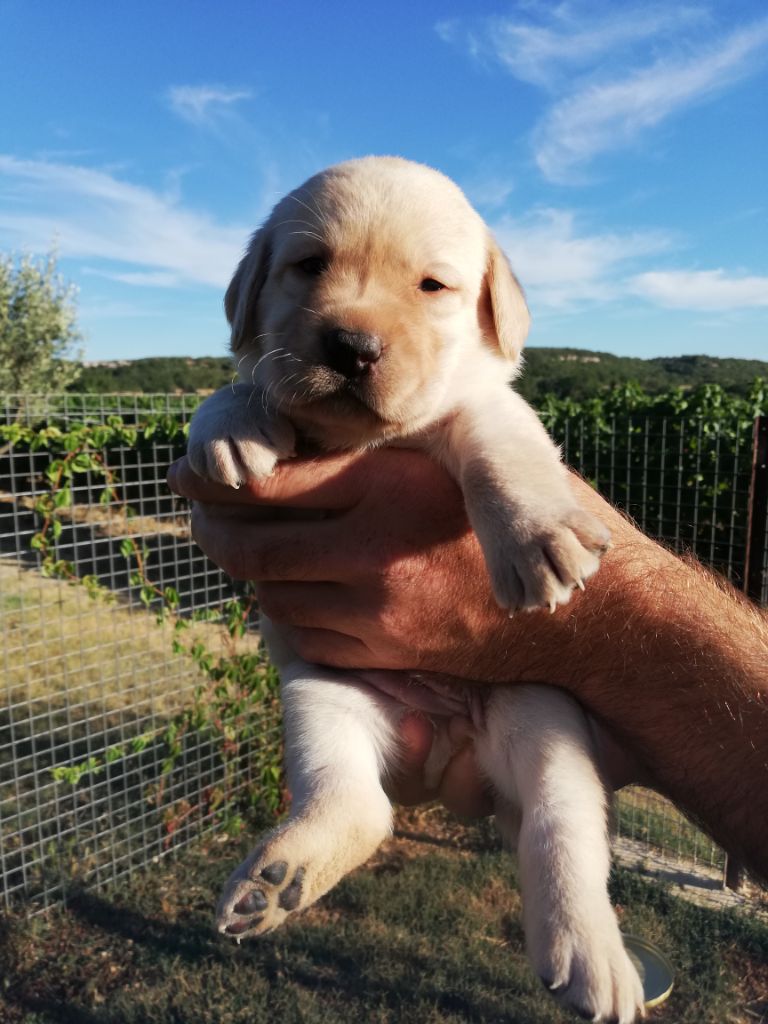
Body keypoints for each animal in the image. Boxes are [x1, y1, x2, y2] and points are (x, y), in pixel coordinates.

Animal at [189, 155, 647, 1019]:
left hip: (544, 721)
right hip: (321, 692)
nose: (352, 345)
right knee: (356, 803)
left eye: (433, 286)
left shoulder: (485, 406)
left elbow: (500, 448)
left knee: (560, 834)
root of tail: (448, 742)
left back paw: (592, 957)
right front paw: (230, 426)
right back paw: (277, 877)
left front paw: (539, 535)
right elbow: (240, 384)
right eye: (309, 267)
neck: (372, 439)